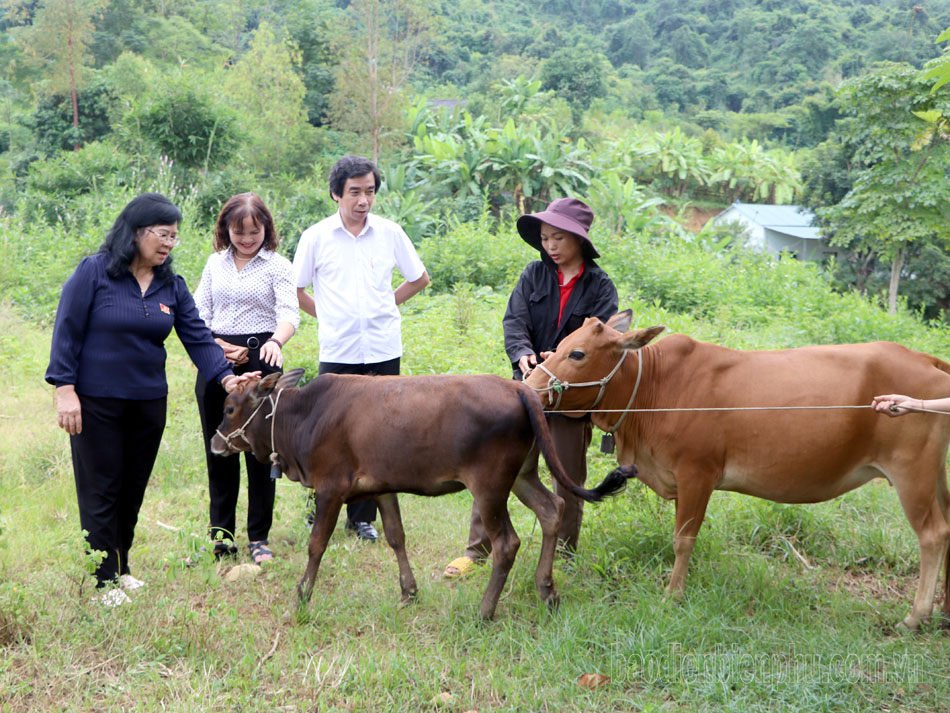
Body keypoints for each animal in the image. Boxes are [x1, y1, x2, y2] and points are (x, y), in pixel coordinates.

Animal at [209, 368, 628, 616]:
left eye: (229, 408)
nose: (215, 443)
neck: (303, 420)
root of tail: (520, 388)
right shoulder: (382, 487)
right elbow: (396, 536)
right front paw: (408, 591)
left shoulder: (331, 488)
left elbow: (317, 545)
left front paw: (302, 594)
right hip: (523, 474)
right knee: (552, 509)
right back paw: (547, 590)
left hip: (490, 485)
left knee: (507, 543)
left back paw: (485, 611)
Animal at [524, 308, 950, 624]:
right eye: (558, 346)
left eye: (577, 353)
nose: (530, 385)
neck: (653, 391)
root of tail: (924, 359)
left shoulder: (697, 473)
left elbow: (683, 539)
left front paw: (672, 595)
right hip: (936, 475)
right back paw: (944, 606)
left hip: (912, 472)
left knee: (933, 534)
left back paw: (917, 615)